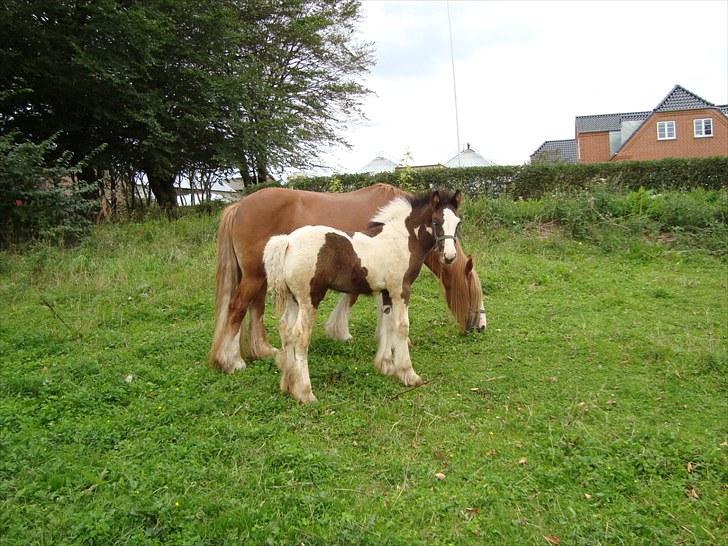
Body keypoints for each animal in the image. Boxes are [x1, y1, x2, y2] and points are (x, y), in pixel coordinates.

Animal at [208, 183, 486, 374]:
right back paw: (232, 361)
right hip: (255, 276)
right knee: (237, 307)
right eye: (473, 293)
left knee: (255, 307)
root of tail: (239, 205)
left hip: (262, 276)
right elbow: (362, 302)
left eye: (458, 223)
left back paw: (263, 351)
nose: (480, 327)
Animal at [264, 189, 464, 402]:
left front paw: (386, 365)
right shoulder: (401, 290)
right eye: (436, 221)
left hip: (294, 300)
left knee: (285, 329)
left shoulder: (387, 292)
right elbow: (402, 328)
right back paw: (305, 392)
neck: (403, 239)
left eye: (458, 223)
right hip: (310, 300)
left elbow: (387, 325)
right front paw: (408, 374)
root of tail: (288, 241)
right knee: (301, 336)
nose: (450, 256)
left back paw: (288, 385)